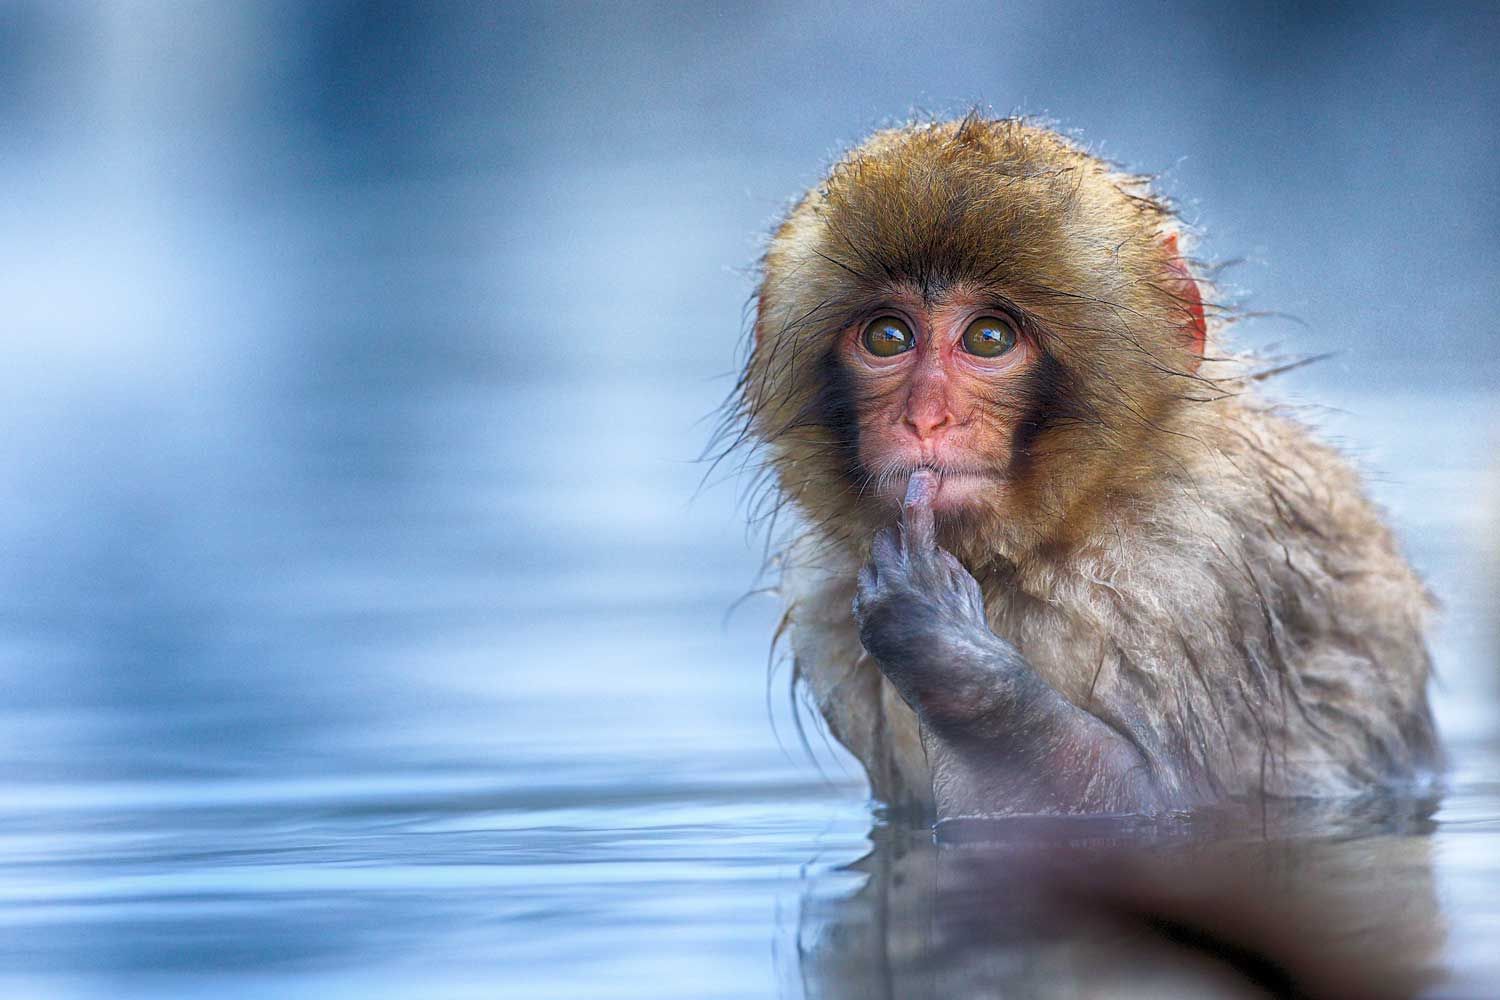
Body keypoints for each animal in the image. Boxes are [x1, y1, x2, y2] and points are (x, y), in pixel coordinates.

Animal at [729, 114, 1440, 820]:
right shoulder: (824, 596)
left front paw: (941, 645)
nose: (926, 418)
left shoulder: (1181, 572)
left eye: (988, 337)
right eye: (887, 336)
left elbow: (1157, 800)